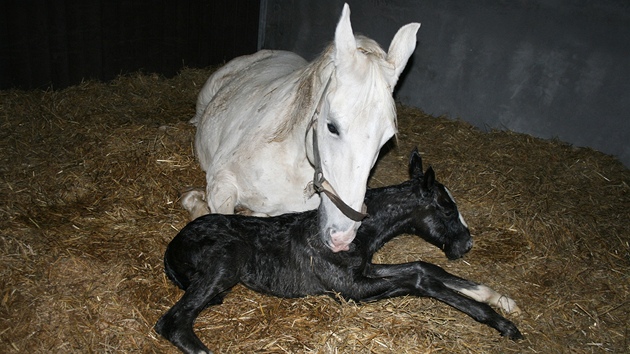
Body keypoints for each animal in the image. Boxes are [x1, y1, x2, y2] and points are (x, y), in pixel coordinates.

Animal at [154, 149, 524, 354]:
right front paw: (501, 322)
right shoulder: (351, 288)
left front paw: (500, 298)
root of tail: (172, 247)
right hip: (224, 262)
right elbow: (420, 279)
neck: (356, 233)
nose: (466, 244)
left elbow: (423, 266)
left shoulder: (365, 270)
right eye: (447, 208)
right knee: (172, 323)